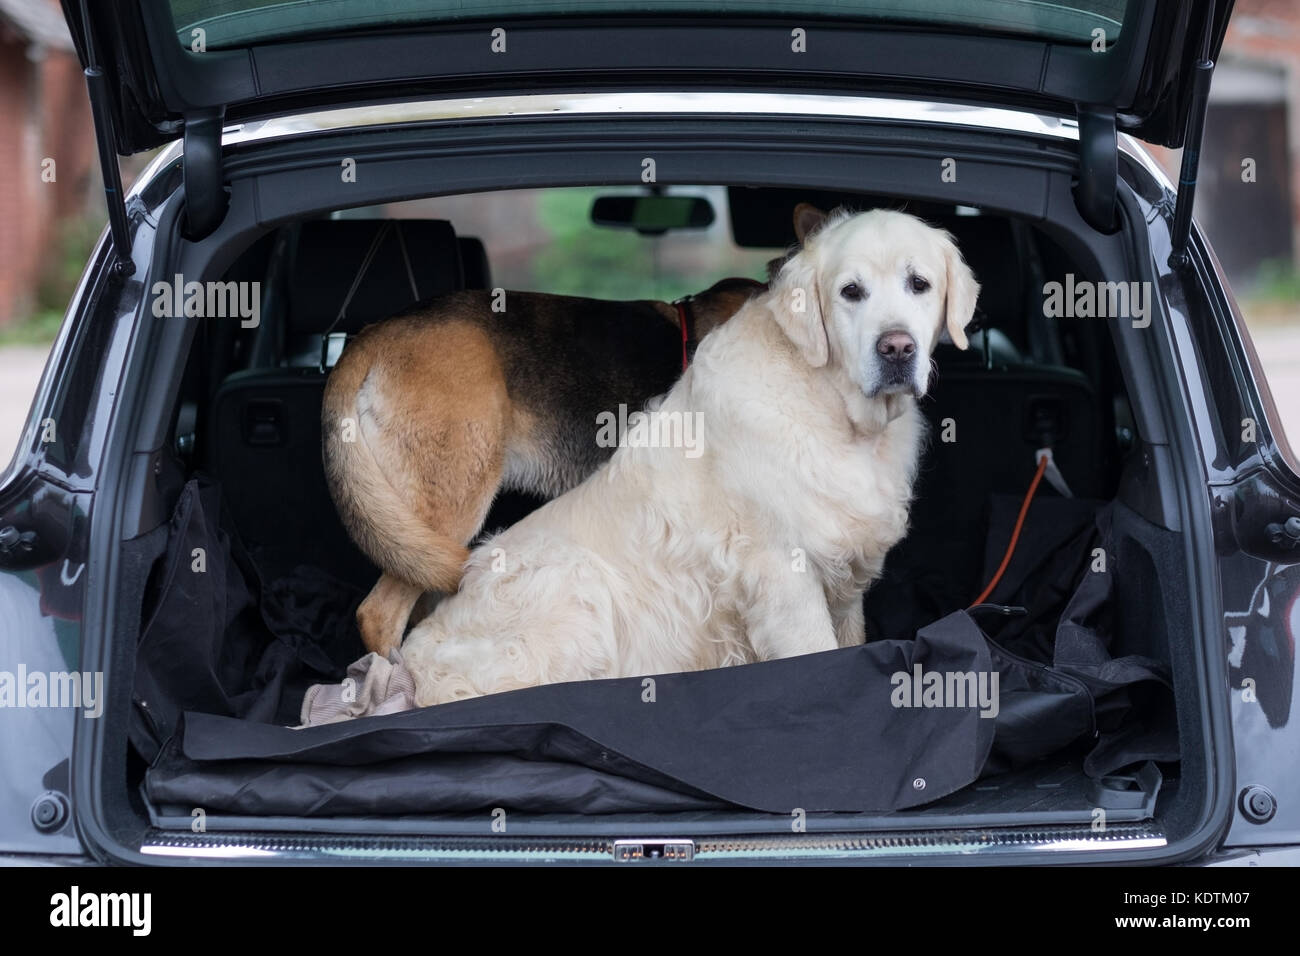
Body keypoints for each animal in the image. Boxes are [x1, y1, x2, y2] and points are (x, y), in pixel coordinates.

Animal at [400, 208, 977, 702]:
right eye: (850, 292)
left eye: (919, 284)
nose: (897, 348)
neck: (837, 411)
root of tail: (412, 660)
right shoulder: (783, 574)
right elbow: (819, 658)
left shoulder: (846, 579)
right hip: (572, 579)